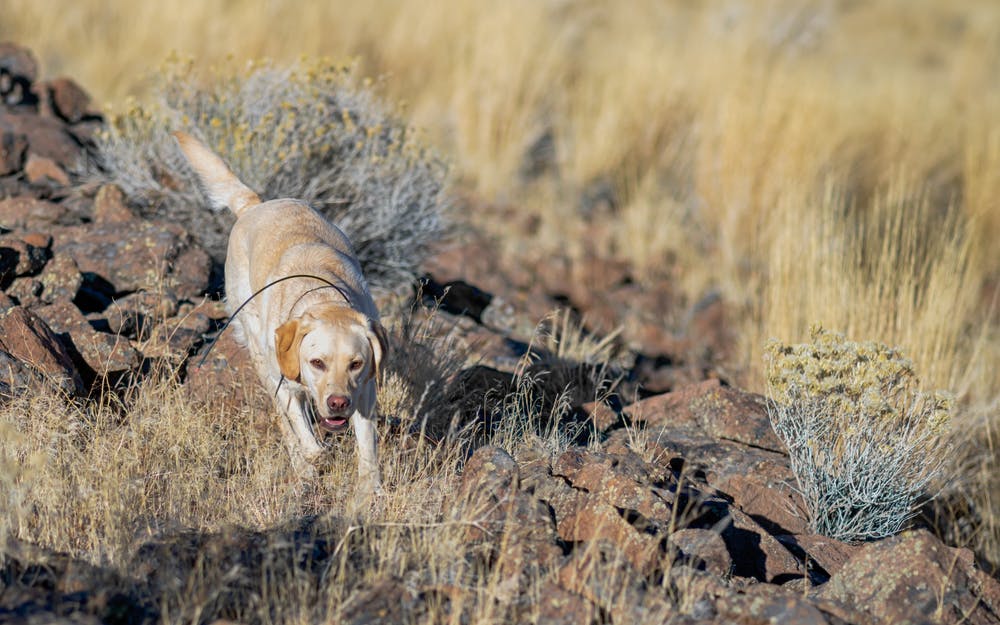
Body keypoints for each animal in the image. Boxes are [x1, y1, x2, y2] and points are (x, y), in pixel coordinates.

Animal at [176, 133, 386, 492]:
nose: (338, 403)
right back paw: (302, 465)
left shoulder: (365, 392)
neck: (323, 295)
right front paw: (313, 459)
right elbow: (308, 439)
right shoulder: (285, 383)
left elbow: (367, 448)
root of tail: (255, 205)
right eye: (317, 362)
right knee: (284, 422)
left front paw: (369, 489)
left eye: (356, 364)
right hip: (260, 354)